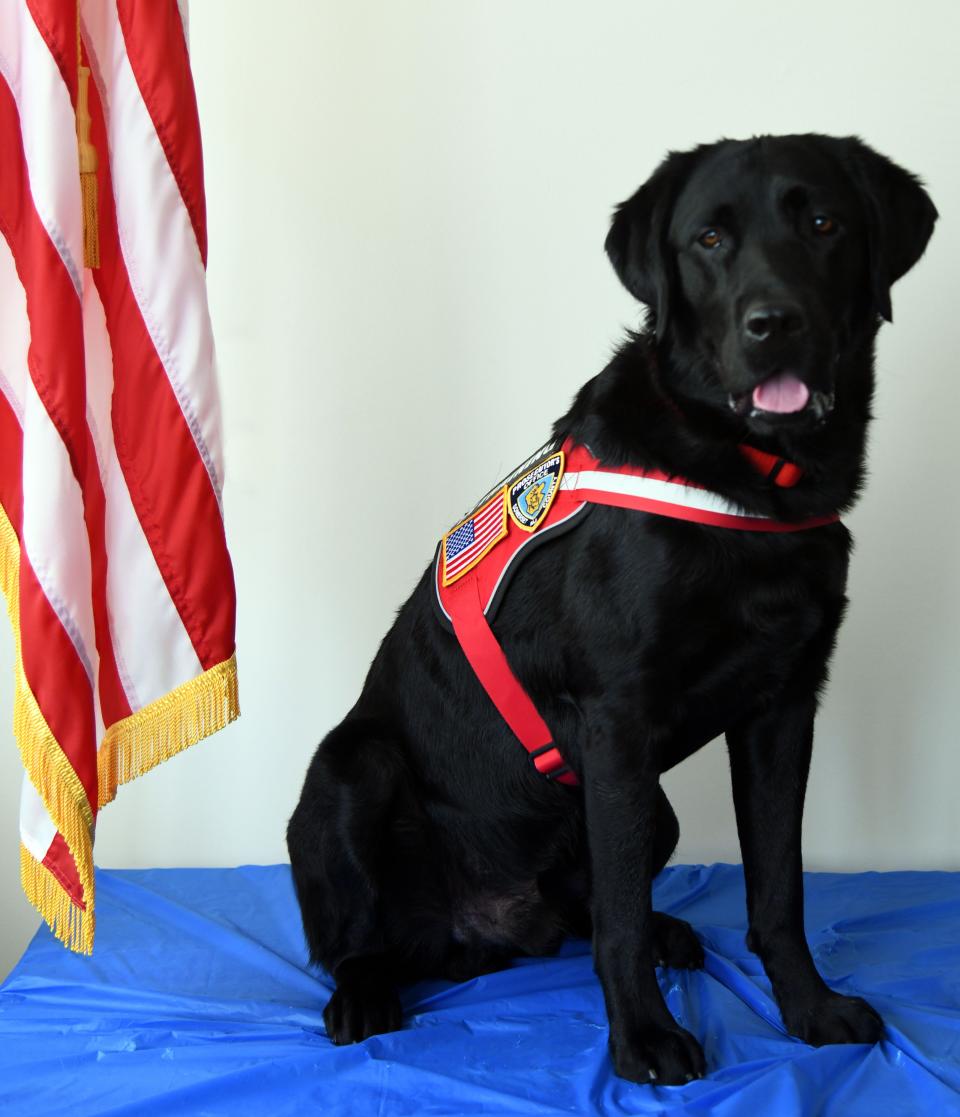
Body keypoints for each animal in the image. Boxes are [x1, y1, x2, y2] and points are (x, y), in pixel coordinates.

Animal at [286, 135, 938, 1085]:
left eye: (823, 223)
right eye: (709, 239)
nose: (772, 322)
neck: (750, 476)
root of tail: (479, 932)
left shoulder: (784, 706)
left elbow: (779, 885)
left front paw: (810, 1008)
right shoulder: (617, 719)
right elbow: (622, 918)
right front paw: (645, 1037)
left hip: (647, 809)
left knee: (587, 906)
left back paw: (666, 932)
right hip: (352, 769)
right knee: (356, 941)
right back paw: (365, 994)